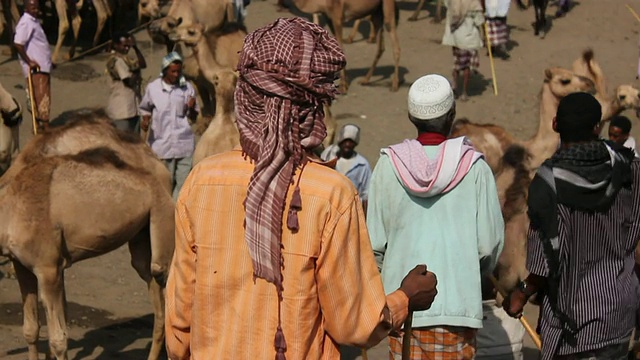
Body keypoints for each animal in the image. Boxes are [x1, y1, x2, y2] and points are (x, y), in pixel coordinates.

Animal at [0, 112, 175, 360]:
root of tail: (160, 166)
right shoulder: (22, 264)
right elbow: (30, 329)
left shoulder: (48, 268)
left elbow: (58, 339)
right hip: (142, 236)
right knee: (156, 296)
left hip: (164, 215)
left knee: (165, 277)